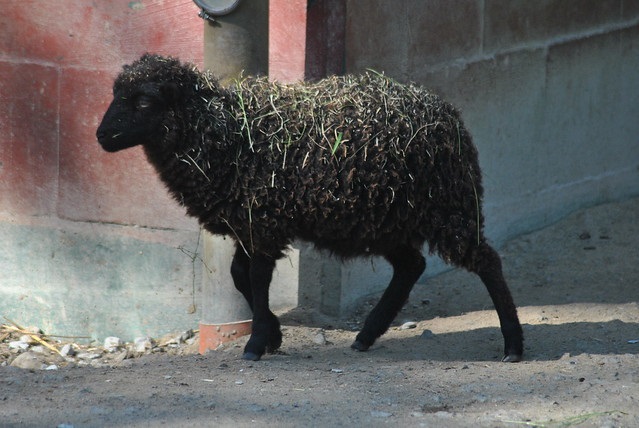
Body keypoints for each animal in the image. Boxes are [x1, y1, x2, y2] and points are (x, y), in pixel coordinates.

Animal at [96, 53, 524, 362]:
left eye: (145, 101)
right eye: (114, 92)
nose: (101, 136)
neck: (222, 131)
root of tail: (449, 114)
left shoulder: (263, 222)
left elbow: (255, 279)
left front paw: (256, 345)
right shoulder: (252, 224)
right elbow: (239, 275)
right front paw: (272, 334)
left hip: (450, 207)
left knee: (486, 261)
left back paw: (513, 345)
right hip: (386, 218)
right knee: (411, 266)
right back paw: (366, 335)